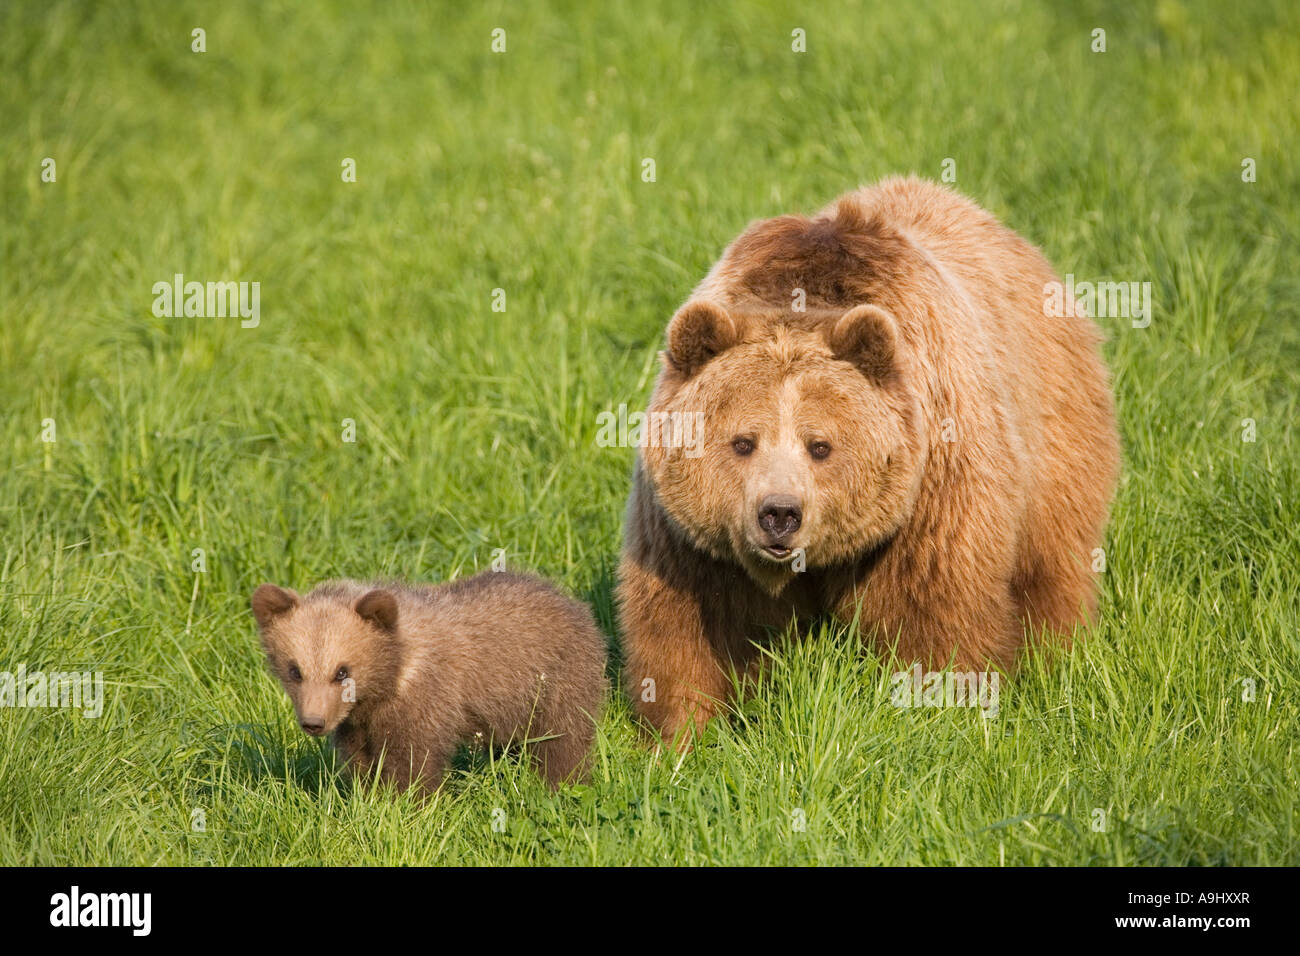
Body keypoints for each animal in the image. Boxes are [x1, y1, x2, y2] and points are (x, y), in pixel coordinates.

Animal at [251, 571, 608, 792]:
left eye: (342, 671)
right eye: (295, 669)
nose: (314, 722)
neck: (389, 679)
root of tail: (569, 600)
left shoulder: (424, 703)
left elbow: (413, 765)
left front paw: (406, 805)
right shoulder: (356, 722)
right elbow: (361, 763)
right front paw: (367, 797)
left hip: (557, 680)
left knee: (563, 740)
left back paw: (563, 783)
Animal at [617, 176, 1120, 745]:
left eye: (820, 445)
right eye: (743, 442)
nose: (780, 514)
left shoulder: (930, 490)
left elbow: (932, 612)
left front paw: (941, 711)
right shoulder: (691, 539)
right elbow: (686, 631)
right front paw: (682, 734)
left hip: (1053, 424)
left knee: (1052, 559)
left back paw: (1055, 654)